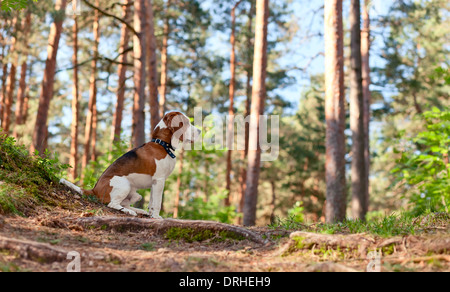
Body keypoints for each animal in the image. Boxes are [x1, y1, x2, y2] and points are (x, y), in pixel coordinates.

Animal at [60, 112, 201, 219]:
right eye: (186, 122)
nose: (200, 131)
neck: (162, 145)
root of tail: (94, 190)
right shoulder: (160, 180)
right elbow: (157, 202)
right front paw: (156, 217)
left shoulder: (155, 183)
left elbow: (152, 202)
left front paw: (150, 214)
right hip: (124, 185)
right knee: (112, 204)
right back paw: (130, 211)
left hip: (135, 194)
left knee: (125, 203)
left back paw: (139, 211)